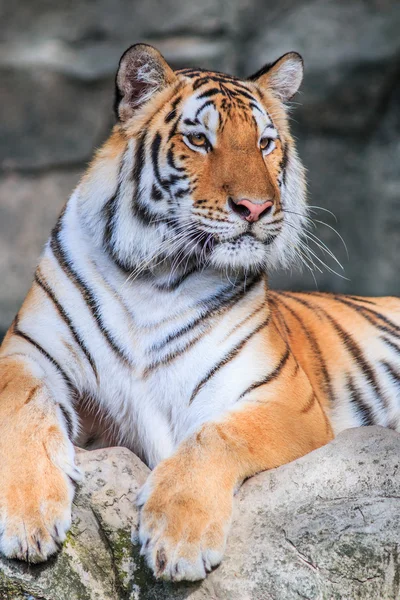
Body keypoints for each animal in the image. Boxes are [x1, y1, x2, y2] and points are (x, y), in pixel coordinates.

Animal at [0, 43, 400, 580]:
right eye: (198, 139)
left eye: (265, 143)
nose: (254, 208)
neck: (154, 277)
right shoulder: (27, 352)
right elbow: (22, 406)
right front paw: (27, 517)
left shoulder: (283, 398)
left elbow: (217, 436)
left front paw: (179, 541)